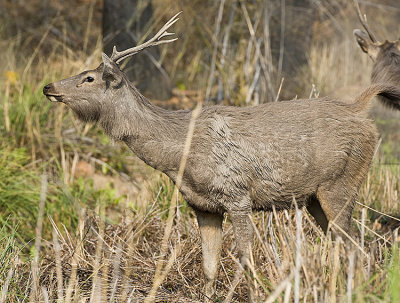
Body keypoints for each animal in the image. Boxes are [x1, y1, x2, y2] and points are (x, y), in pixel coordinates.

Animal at [43, 12, 400, 303]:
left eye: (89, 77)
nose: (48, 87)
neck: (179, 155)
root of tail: (359, 109)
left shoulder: (237, 195)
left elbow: (245, 256)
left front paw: (253, 292)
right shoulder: (203, 206)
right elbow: (209, 265)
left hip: (341, 183)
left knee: (358, 246)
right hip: (314, 198)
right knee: (347, 245)